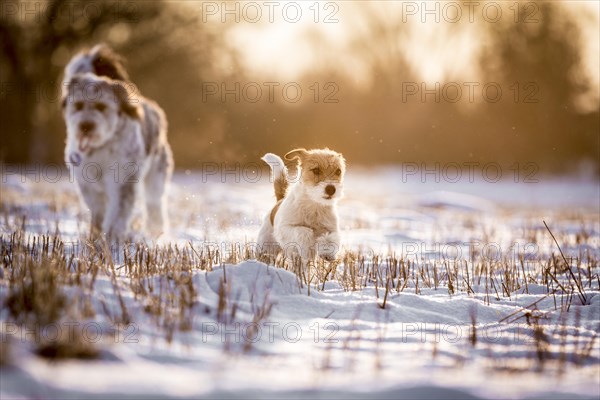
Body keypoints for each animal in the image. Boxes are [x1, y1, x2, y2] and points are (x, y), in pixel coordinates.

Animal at [61, 45, 173, 242]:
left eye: (102, 107)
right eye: (79, 105)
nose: (86, 126)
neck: (101, 148)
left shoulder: (122, 181)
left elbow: (118, 213)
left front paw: (112, 237)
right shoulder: (88, 184)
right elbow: (98, 213)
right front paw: (96, 237)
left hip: (156, 176)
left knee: (154, 203)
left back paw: (155, 231)